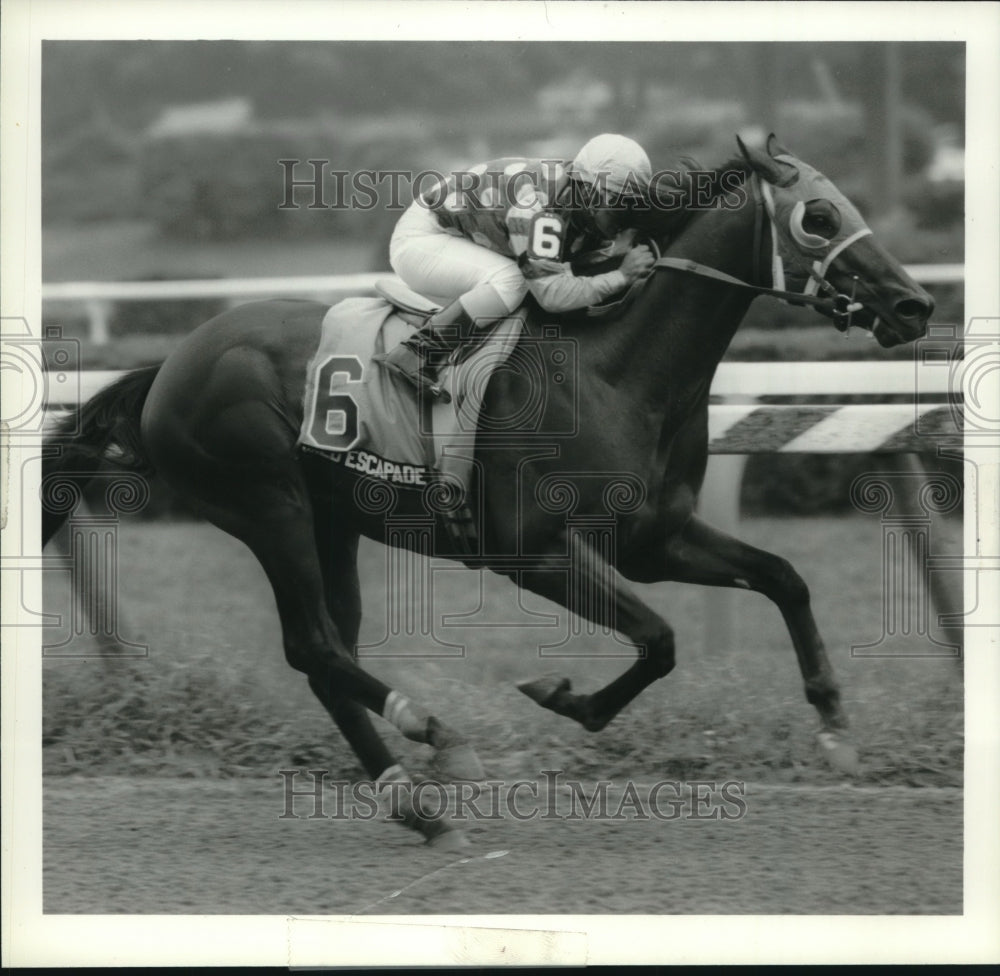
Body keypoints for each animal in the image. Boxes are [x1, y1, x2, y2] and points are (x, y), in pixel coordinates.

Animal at [41, 137, 928, 848]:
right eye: (819, 217)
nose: (913, 304)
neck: (614, 371)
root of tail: (171, 363)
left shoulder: (654, 539)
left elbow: (782, 579)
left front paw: (836, 727)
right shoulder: (527, 551)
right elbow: (660, 638)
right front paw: (564, 697)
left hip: (331, 516)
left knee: (328, 653)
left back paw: (415, 804)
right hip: (269, 508)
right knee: (316, 647)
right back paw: (433, 734)